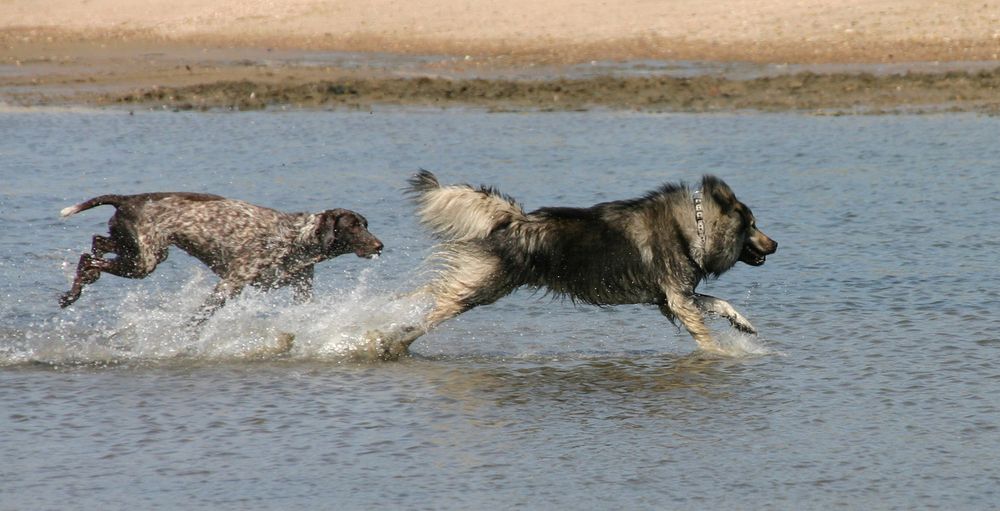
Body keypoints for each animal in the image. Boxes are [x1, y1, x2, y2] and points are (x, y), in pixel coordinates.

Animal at [57, 194, 382, 322]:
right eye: (354, 226)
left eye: (366, 223)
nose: (380, 246)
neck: (296, 237)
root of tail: (126, 199)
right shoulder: (230, 285)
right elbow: (198, 318)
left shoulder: (301, 288)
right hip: (144, 262)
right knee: (88, 257)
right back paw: (74, 291)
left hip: (133, 250)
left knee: (95, 244)